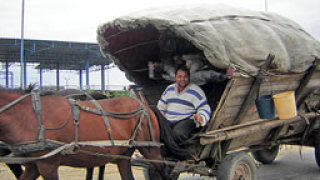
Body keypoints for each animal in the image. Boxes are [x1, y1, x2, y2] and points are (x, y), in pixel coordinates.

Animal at [0, 88, 170, 179]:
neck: (30, 116)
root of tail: (145, 106)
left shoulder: (48, 165)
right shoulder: (32, 166)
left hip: (151, 150)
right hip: (123, 155)